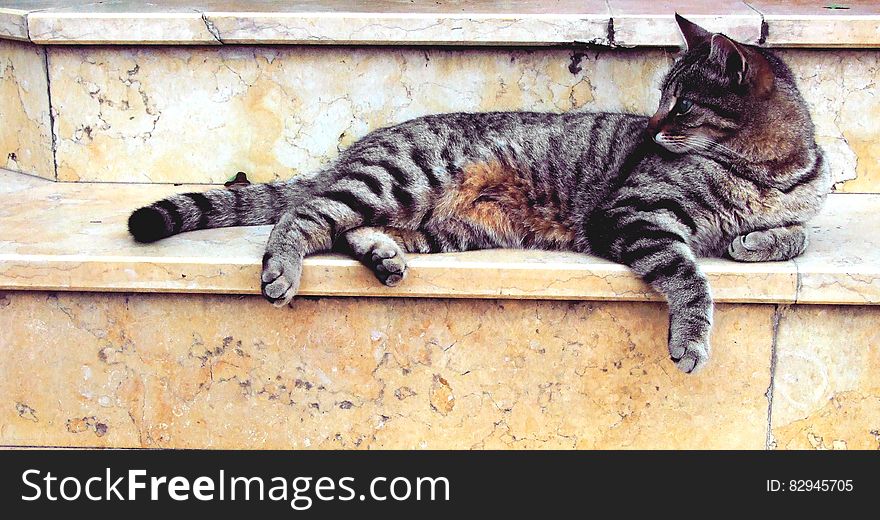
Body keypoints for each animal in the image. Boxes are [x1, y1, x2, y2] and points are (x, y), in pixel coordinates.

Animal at [125, 17, 832, 374]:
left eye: (679, 103)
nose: (653, 126)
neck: (766, 169)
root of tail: (356, 150)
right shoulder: (631, 214)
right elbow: (689, 275)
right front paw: (692, 335)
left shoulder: (797, 208)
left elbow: (796, 234)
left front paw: (756, 240)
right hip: (400, 179)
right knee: (306, 213)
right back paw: (281, 269)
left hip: (447, 226)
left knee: (351, 229)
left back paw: (385, 258)